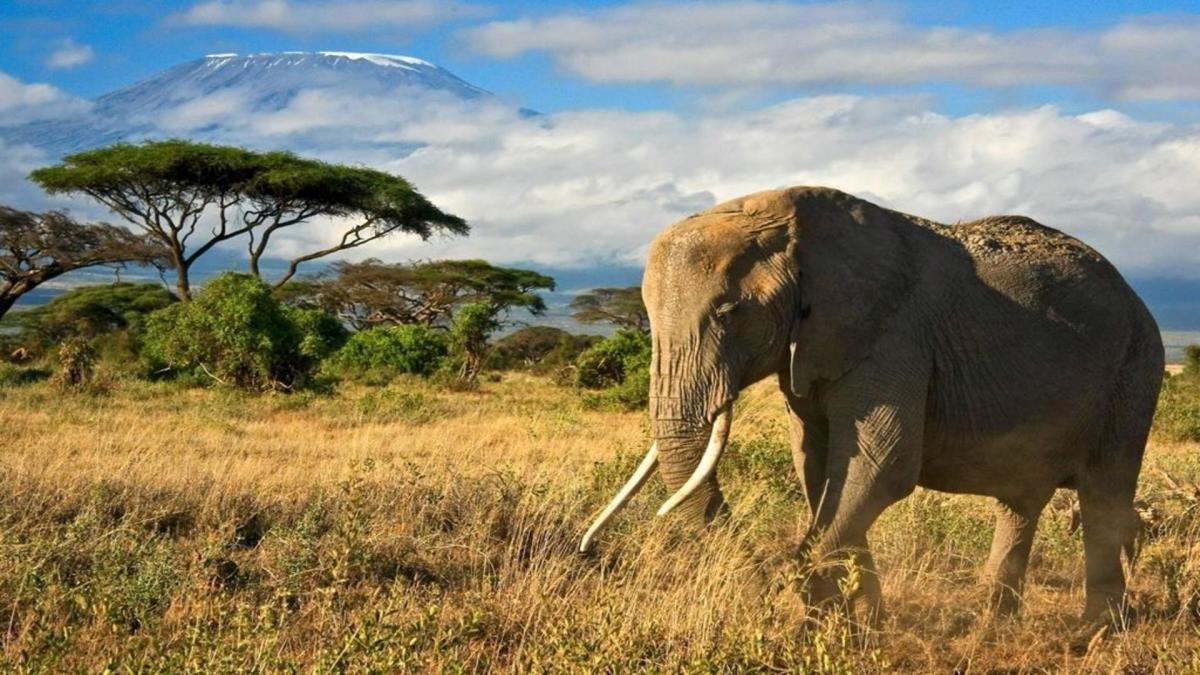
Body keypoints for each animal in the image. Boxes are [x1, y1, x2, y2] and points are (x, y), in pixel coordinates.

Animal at [580, 183, 1161, 619]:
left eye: (731, 311)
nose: (591, 551)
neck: (789, 219)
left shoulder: (895, 335)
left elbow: (879, 467)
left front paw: (811, 620)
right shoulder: (813, 350)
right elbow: (820, 471)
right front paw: (864, 627)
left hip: (1136, 372)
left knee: (1104, 496)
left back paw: (1093, 634)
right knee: (1022, 500)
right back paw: (995, 624)